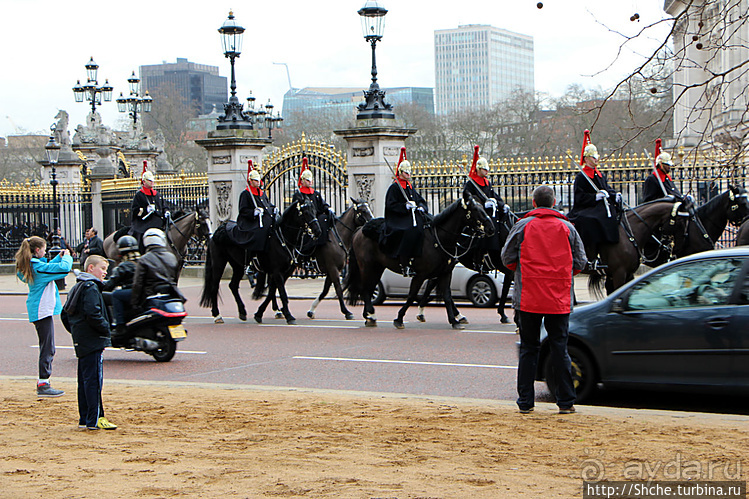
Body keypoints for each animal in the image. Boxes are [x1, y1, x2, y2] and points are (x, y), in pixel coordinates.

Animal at [346, 193, 496, 330]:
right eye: (475, 209)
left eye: (483, 207)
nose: (491, 229)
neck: (439, 239)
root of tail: (360, 230)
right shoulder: (420, 275)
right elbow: (412, 295)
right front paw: (399, 318)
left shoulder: (445, 273)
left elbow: (447, 296)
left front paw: (454, 321)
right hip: (367, 266)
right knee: (365, 288)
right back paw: (370, 315)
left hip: (378, 267)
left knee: (369, 288)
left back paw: (368, 316)